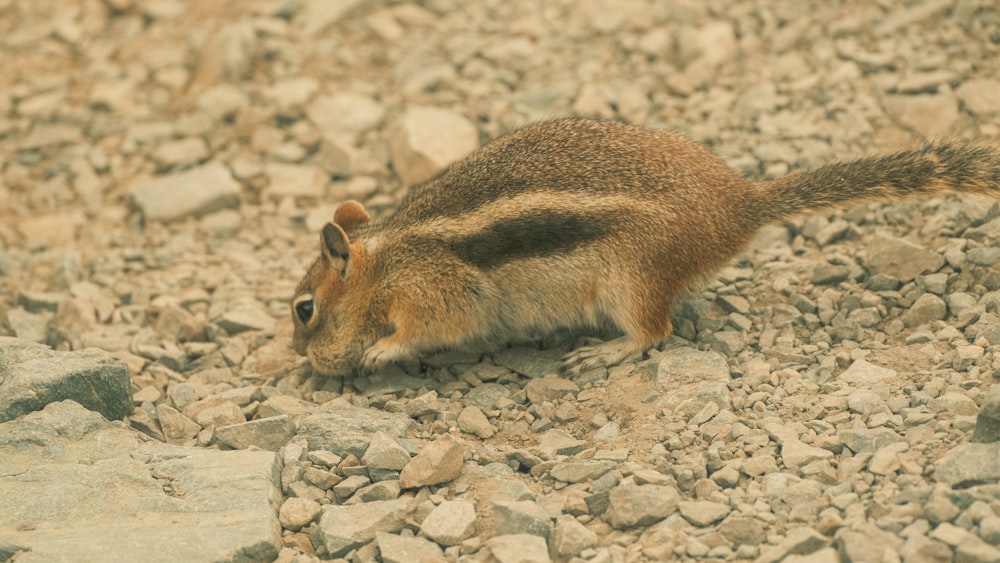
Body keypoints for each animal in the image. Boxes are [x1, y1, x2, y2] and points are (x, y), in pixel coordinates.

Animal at [292, 117, 1000, 376]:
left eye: (305, 310)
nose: (306, 363)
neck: (386, 257)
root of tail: (737, 205)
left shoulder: (437, 286)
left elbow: (439, 322)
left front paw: (382, 349)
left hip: (632, 277)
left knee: (655, 330)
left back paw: (606, 351)